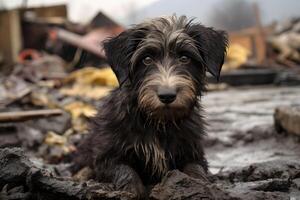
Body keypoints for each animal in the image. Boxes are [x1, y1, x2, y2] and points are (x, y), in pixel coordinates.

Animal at [75, 15, 227, 197]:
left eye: (185, 58)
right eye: (146, 59)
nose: (167, 96)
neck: (158, 121)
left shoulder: (192, 150)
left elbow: (195, 168)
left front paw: (199, 184)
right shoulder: (106, 155)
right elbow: (124, 169)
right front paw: (132, 191)